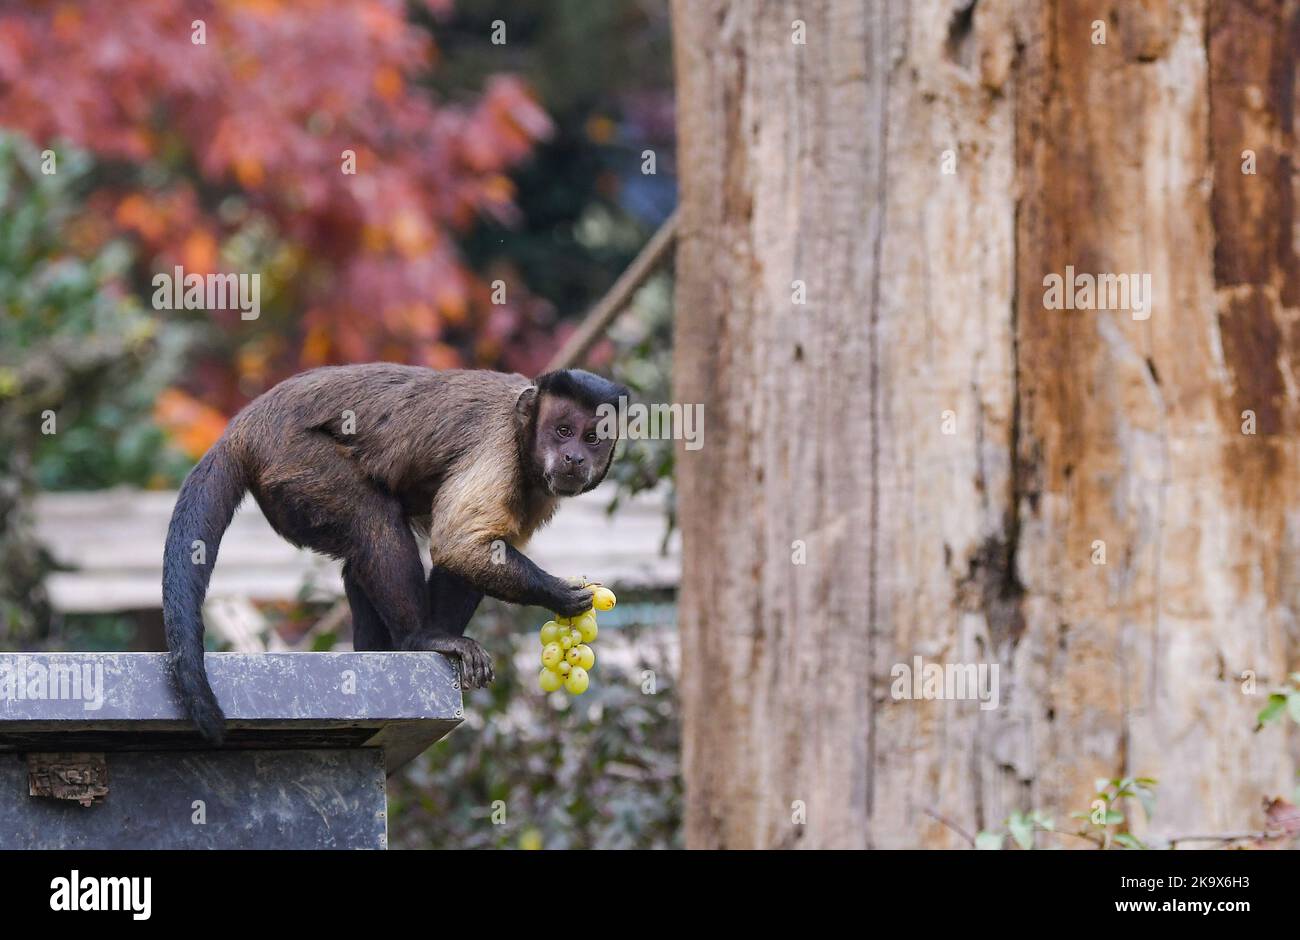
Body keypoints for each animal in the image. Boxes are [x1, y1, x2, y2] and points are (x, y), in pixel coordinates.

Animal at [161, 364, 628, 743]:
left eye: (592, 438)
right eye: (563, 431)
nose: (574, 457)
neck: (523, 435)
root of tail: (246, 424)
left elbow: (472, 553)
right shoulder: (498, 450)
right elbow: (458, 544)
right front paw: (561, 594)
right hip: (292, 457)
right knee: (374, 517)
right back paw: (418, 639)